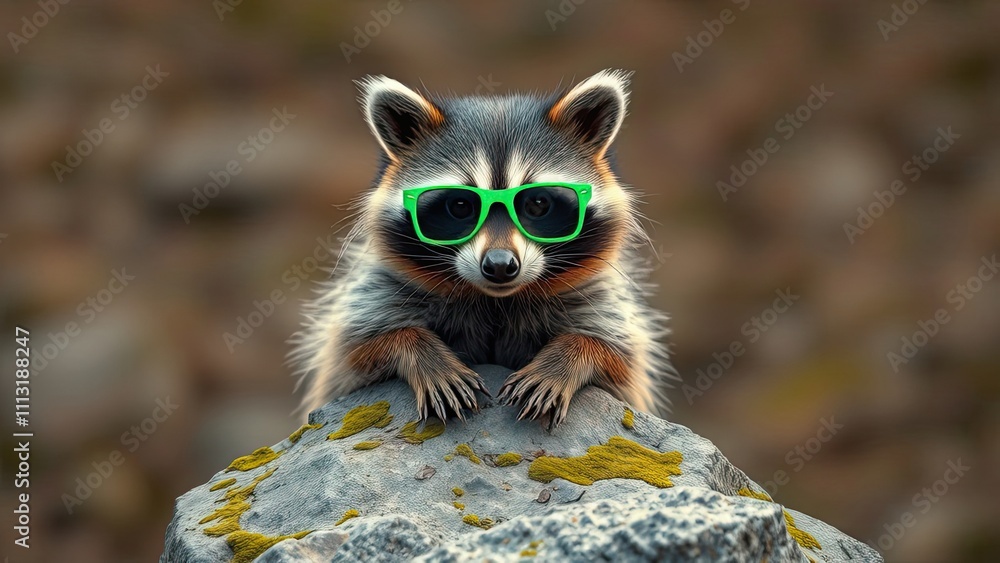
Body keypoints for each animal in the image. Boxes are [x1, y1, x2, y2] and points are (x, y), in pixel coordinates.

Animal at [292, 69, 676, 430]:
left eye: (537, 203)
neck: (495, 301)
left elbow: (616, 354)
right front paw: (424, 353)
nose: (501, 265)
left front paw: (564, 359)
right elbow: (353, 352)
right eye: (461, 206)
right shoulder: (377, 294)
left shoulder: (598, 299)